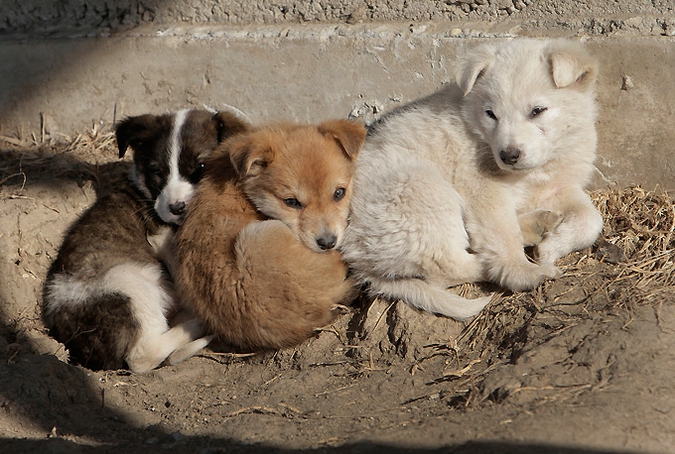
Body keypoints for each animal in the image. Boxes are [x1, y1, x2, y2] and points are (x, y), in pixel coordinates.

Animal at [42, 108, 250, 370]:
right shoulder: (166, 242)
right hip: (128, 282)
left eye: (201, 166)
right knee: (143, 356)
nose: (177, 208)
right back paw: (195, 323)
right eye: (156, 172)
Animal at [344, 40, 604, 320]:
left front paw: (552, 247)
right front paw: (523, 271)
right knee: (445, 265)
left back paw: (538, 225)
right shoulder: (483, 188)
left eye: (537, 111)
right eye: (491, 114)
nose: (508, 155)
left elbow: (592, 219)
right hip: (419, 189)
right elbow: (502, 234)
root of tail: (357, 257)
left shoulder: (557, 187)